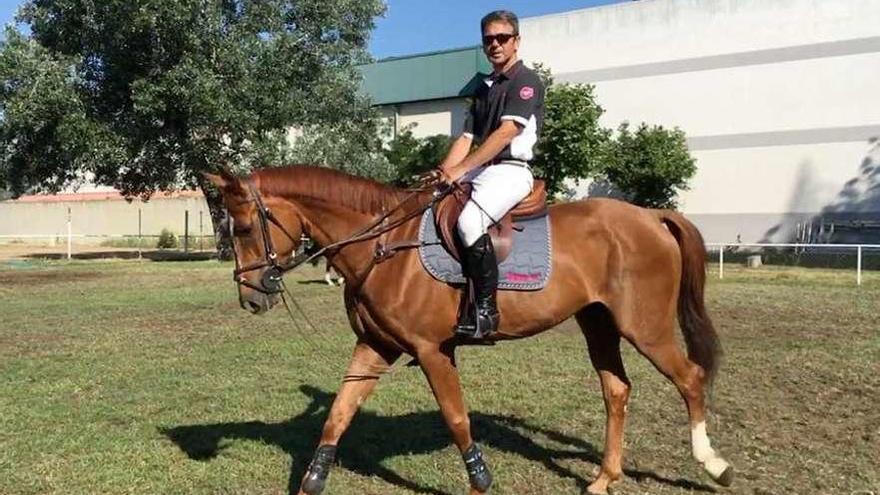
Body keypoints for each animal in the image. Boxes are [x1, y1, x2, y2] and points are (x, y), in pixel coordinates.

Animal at [206, 167, 736, 495]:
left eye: (245, 227)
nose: (251, 298)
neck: (384, 244)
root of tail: (650, 215)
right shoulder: (374, 346)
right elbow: (337, 414)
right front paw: (312, 481)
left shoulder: (432, 351)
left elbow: (457, 418)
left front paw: (480, 481)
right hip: (598, 323)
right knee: (617, 390)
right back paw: (605, 478)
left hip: (645, 326)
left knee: (690, 377)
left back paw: (714, 464)